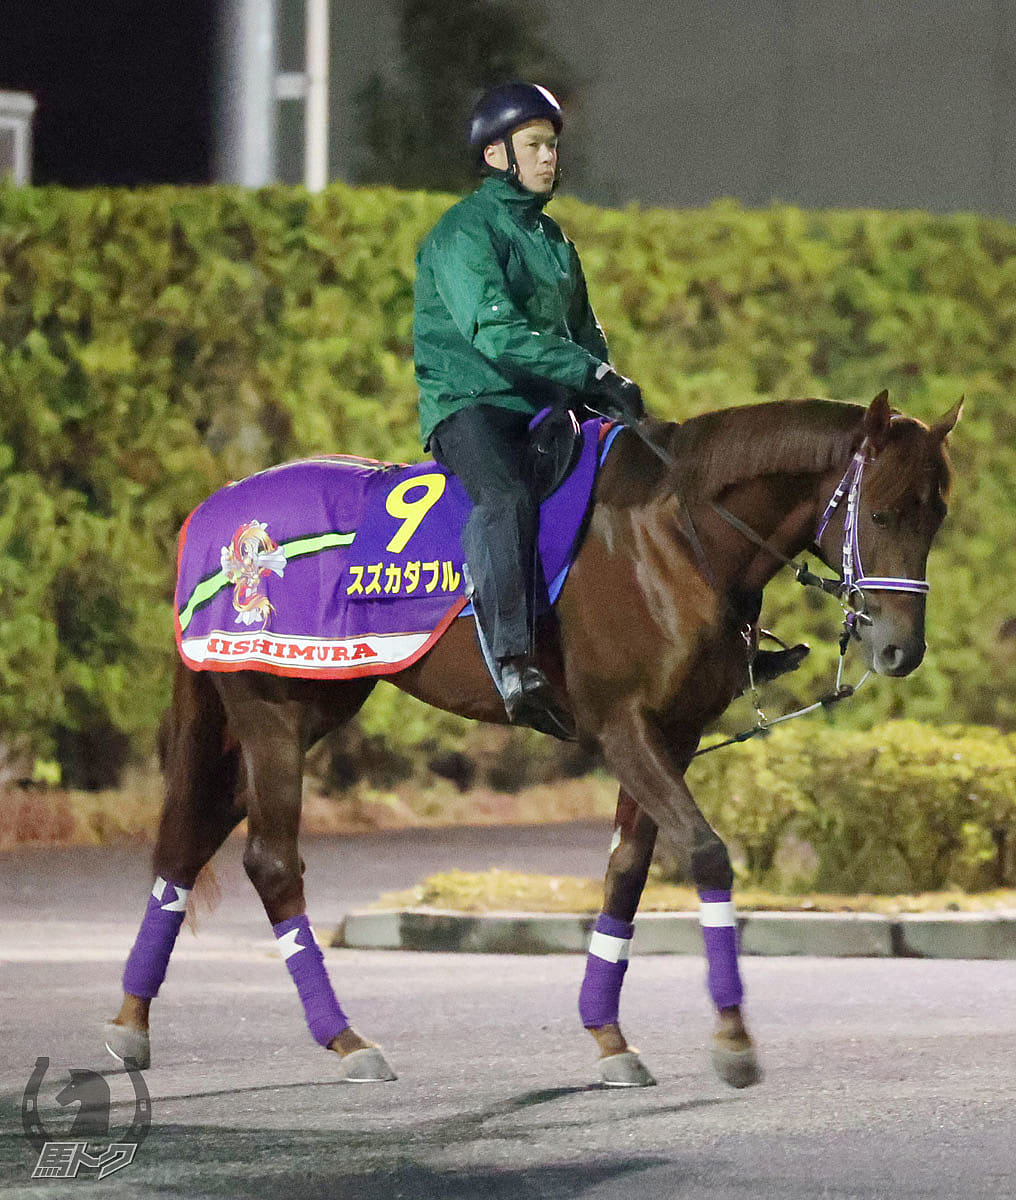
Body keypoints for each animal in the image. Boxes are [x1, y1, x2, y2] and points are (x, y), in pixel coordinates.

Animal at [105, 393, 959, 1089]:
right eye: (882, 513)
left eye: (936, 517)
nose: (901, 649)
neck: (669, 530)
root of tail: (211, 514)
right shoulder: (621, 726)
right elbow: (708, 853)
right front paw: (732, 1038)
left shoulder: (673, 733)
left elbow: (626, 872)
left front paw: (610, 1036)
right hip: (272, 712)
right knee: (271, 861)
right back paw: (345, 1040)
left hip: (310, 701)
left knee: (190, 841)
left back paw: (130, 1022)